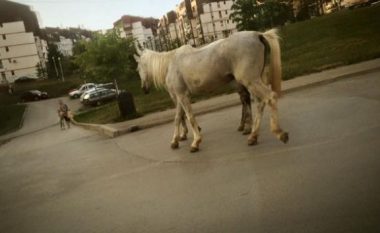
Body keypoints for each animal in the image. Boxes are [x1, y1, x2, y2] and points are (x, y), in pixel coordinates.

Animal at [134, 29, 288, 152]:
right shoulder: (178, 97)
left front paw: (195, 141)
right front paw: (175, 140)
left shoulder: (182, 96)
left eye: (139, 68)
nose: (143, 89)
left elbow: (189, 117)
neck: (170, 64)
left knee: (269, 98)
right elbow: (178, 118)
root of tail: (257, 35)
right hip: (252, 82)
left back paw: (278, 133)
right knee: (258, 103)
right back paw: (252, 136)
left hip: (250, 81)